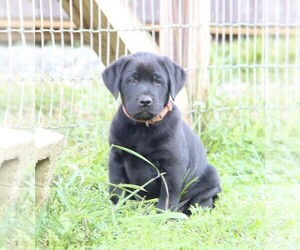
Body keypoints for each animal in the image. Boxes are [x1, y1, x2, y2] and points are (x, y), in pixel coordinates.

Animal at [101, 51, 220, 214]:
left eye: (158, 81)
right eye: (132, 80)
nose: (145, 101)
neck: (143, 127)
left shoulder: (173, 165)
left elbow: (168, 196)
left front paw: (162, 216)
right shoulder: (116, 157)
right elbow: (116, 188)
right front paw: (116, 210)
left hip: (210, 179)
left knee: (200, 203)